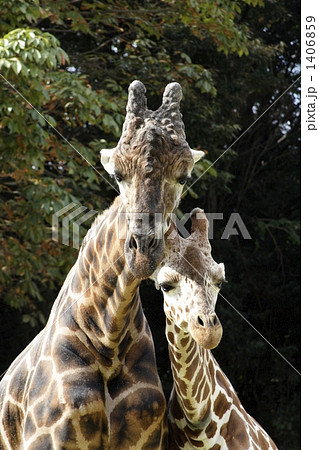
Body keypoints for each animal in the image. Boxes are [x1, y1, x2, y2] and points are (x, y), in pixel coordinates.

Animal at [0, 81, 204, 450]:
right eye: (118, 174)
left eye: (183, 177)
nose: (143, 251)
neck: (107, 335)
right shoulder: (49, 440)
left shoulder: (143, 441)